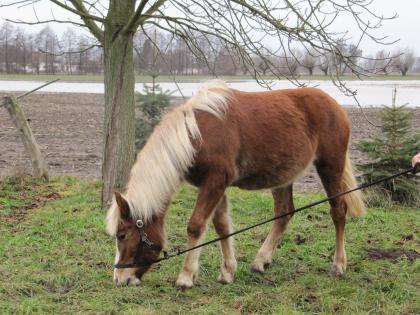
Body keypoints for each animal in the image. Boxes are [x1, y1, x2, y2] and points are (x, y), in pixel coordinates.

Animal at [106, 81, 366, 288]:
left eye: (122, 235)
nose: (119, 279)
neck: (195, 136)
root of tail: (334, 105)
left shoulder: (215, 181)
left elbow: (196, 226)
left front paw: (186, 276)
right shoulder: (215, 185)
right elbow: (222, 226)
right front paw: (228, 271)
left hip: (330, 167)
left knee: (338, 211)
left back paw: (339, 264)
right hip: (284, 176)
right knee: (284, 213)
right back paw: (261, 261)